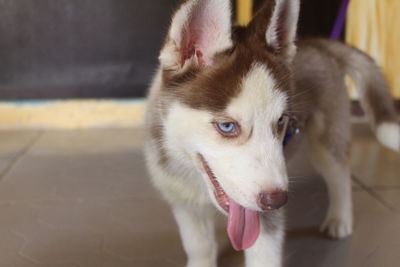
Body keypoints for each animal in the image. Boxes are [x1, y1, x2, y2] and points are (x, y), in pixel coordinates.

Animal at [144, 0, 396, 267]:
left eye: (281, 120)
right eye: (227, 126)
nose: (276, 201)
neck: (198, 180)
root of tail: (318, 44)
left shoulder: (264, 220)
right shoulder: (185, 203)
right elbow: (199, 246)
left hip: (327, 140)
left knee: (339, 172)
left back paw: (340, 218)